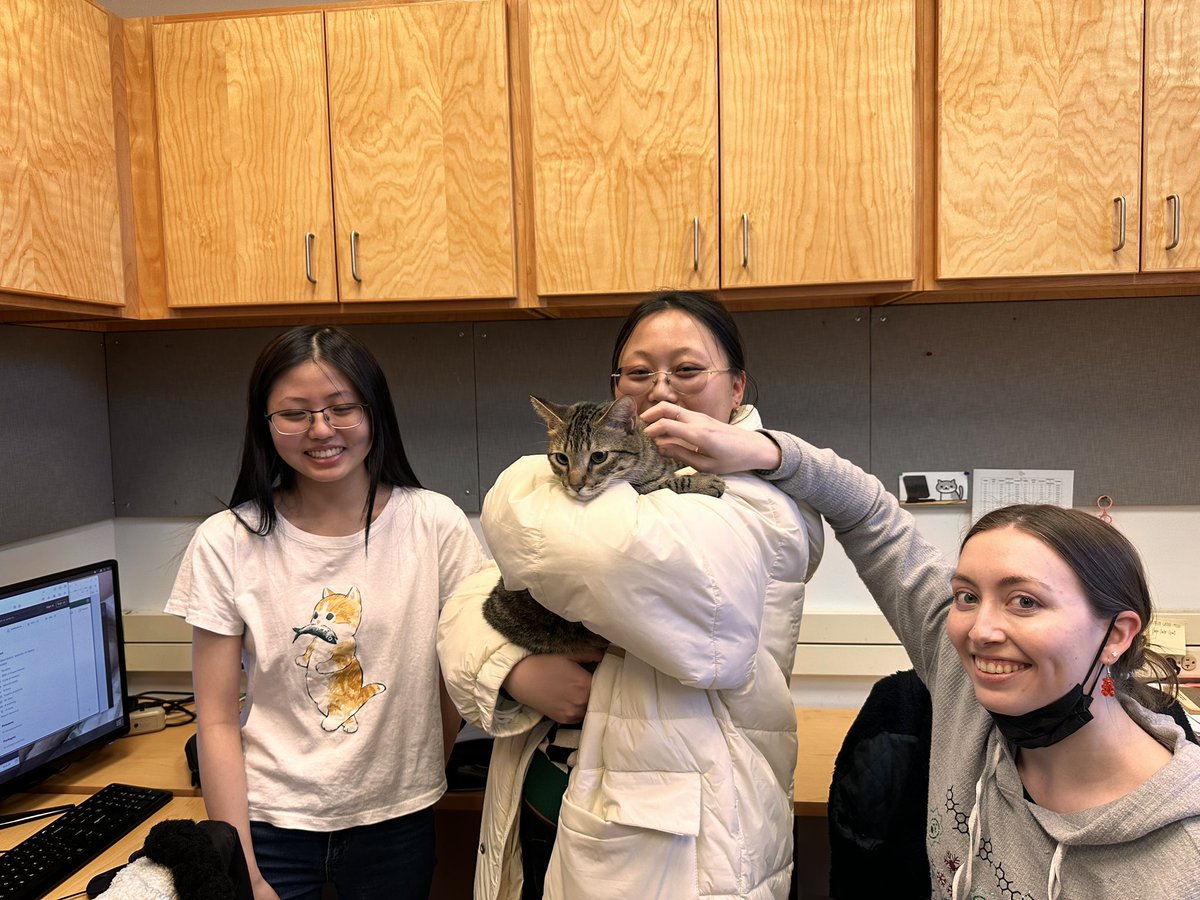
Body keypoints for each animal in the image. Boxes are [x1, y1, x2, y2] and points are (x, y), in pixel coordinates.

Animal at [482, 396, 724, 657]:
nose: (575, 485)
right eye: (562, 458)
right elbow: (667, 483)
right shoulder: (641, 490)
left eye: (598, 457)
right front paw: (701, 480)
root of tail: (491, 607)